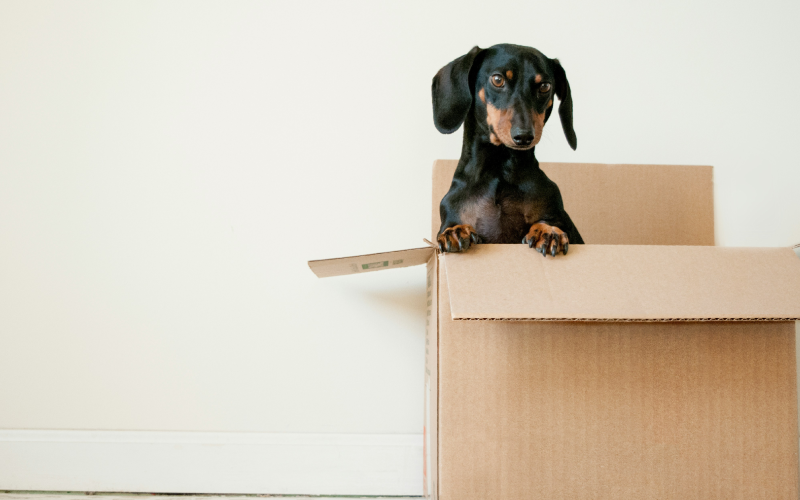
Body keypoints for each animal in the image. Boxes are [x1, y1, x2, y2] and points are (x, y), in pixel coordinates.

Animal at [434, 43, 584, 256]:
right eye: (498, 79)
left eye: (545, 86)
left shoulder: (558, 214)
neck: (500, 169)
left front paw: (547, 231)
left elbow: (550, 222)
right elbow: (452, 226)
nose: (524, 136)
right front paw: (455, 231)